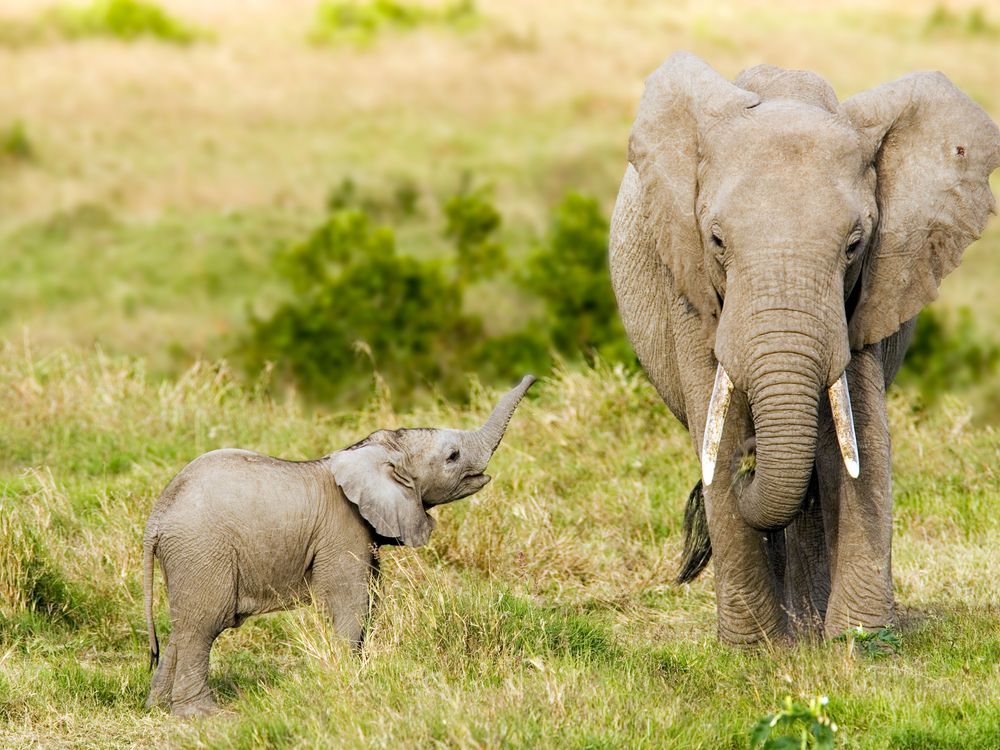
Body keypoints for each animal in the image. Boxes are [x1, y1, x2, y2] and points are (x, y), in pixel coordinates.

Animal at [142, 376, 536, 716]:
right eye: (452, 456)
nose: (534, 378)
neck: (369, 451)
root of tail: (157, 519)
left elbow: (371, 599)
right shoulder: (342, 531)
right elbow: (352, 602)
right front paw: (350, 682)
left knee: (182, 626)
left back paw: (158, 707)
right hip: (203, 550)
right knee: (204, 625)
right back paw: (201, 715)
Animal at [608, 53, 1000, 644]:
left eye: (855, 244)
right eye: (716, 241)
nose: (751, 464)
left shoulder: (867, 292)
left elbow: (861, 438)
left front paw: (858, 642)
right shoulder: (687, 279)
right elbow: (718, 430)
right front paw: (755, 650)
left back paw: (809, 629)